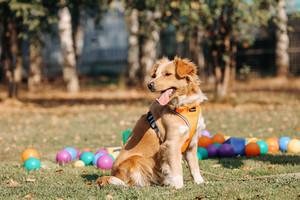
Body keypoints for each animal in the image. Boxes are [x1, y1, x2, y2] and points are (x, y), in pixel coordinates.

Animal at [95, 56, 206, 189]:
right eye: (155, 75)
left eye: (167, 74)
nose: (149, 85)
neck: (185, 106)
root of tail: (115, 174)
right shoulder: (171, 144)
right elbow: (177, 168)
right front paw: (178, 186)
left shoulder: (192, 143)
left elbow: (194, 166)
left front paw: (200, 182)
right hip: (137, 160)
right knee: (128, 183)